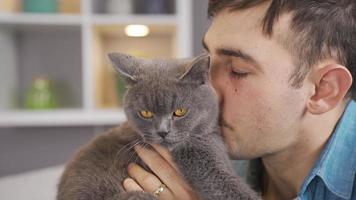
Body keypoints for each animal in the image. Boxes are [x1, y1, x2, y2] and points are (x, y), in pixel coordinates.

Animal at [57, 53, 260, 200]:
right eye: (146, 113)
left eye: (179, 111)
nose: (163, 131)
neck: (209, 136)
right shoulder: (201, 161)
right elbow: (227, 187)